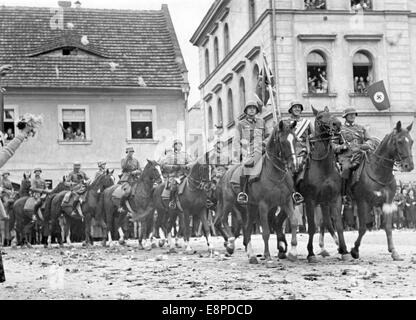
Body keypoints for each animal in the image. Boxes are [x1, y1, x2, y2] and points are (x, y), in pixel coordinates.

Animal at [214, 121, 300, 264]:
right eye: (283, 142)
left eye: (295, 140)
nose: (295, 166)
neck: (274, 173)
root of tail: (226, 173)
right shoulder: (263, 205)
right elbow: (265, 232)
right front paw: (267, 255)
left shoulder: (286, 201)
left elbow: (293, 222)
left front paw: (292, 252)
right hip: (228, 202)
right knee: (224, 220)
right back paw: (231, 243)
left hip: (249, 207)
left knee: (246, 227)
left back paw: (251, 255)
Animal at [350, 121, 414, 262]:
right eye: (399, 141)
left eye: (412, 141)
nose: (409, 166)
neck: (378, 172)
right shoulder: (362, 202)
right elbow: (363, 228)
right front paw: (355, 250)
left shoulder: (387, 202)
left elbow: (388, 227)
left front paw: (394, 252)